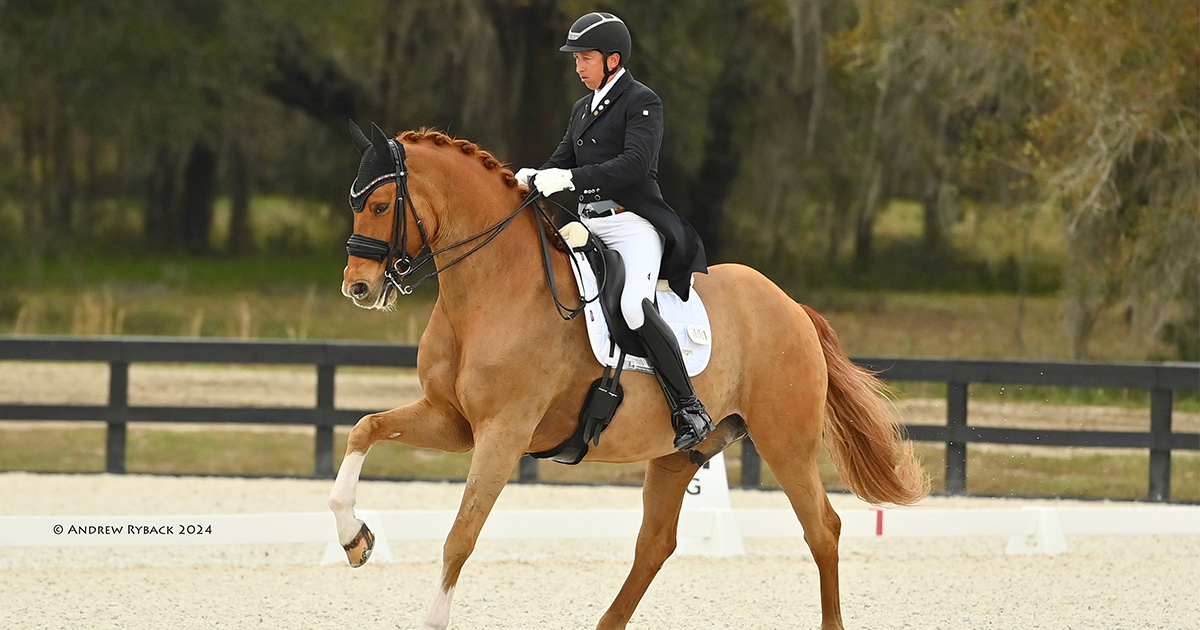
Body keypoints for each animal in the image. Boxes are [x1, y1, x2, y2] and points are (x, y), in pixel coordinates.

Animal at [328, 125, 929, 630]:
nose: (357, 288)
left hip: (786, 442)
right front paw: (355, 538)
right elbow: (364, 428)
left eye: (379, 204)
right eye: (355, 204)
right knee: (655, 544)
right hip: (680, 452)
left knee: (822, 529)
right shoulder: (452, 422)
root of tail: (791, 306)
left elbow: (460, 536)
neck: (492, 291)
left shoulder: (503, 434)